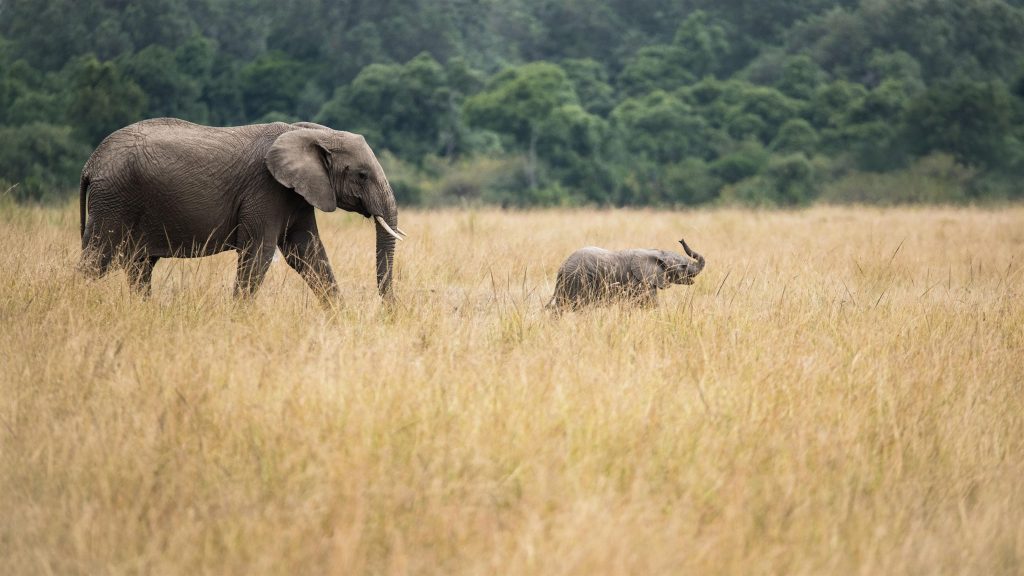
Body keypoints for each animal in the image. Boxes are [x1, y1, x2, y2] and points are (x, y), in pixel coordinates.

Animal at [77, 119, 405, 303]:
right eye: (362, 175)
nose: (387, 312)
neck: (310, 132)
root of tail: (90, 163)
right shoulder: (266, 189)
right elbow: (258, 253)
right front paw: (238, 318)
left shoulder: (296, 193)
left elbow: (307, 254)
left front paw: (340, 318)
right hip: (115, 199)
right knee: (97, 260)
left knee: (139, 266)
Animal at [552, 237, 704, 309]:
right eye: (683, 266)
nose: (681, 240)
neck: (656, 252)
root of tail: (562, 268)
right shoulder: (640, 282)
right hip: (578, 280)